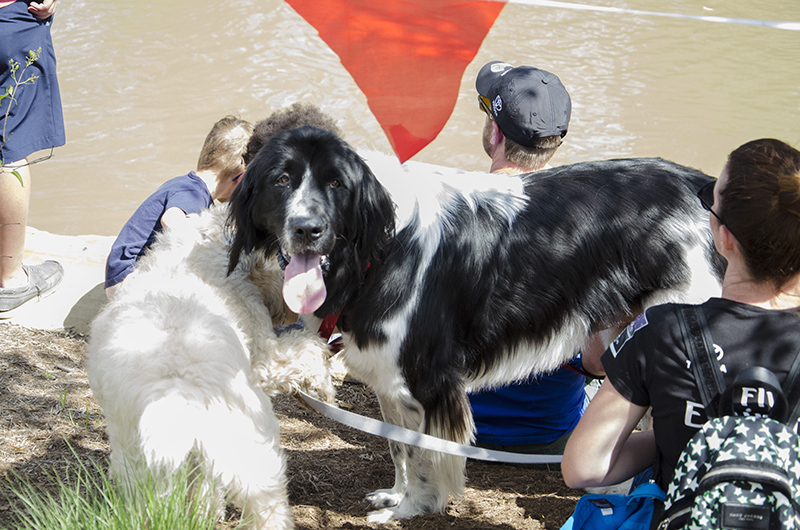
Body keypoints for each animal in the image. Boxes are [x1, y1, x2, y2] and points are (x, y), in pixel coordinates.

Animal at [83, 203, 328, 528]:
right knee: (268, 511)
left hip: (143, 465)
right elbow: (310, 350)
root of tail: (178, 392)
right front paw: (325, 385)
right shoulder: (266, 356)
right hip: (251, 457)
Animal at [228, 127, 728, 520]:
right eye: (281, 179)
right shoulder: (390, 381)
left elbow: (422, 456)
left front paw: (412, 509)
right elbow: (397, 447)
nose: (307, 229)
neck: (379, 250)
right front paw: (394, 496)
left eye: (335, 183)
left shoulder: (426, 383)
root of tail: (701, 186)